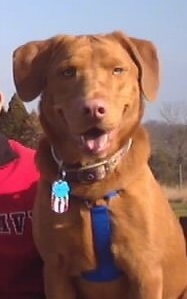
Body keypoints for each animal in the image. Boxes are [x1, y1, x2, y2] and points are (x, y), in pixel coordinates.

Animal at [12, 31, 187, 299]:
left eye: (118, 70)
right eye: (67, 72)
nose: (94, 109)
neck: (93, 179)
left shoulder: (145, 271)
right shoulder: (56, 271)